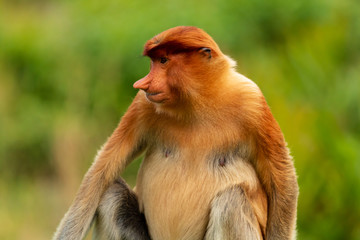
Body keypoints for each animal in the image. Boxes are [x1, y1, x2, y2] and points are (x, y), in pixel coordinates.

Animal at [53, 26, 300, 240]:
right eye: (153, 62)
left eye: (163, 60)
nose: (142, 83)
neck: (197, 103)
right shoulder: (142, 105)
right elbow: (101, 172)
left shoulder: (253, 102)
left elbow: (282, 181)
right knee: (111, 195)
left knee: (231, 202)